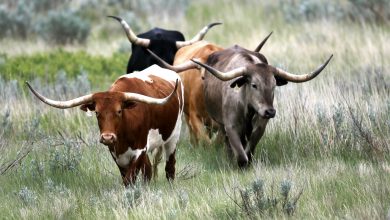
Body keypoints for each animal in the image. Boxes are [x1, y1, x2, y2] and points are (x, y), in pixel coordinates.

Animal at [26, 64, 184, 185]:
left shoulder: (139, 150)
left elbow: (130, 178)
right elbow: (128, 179)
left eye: (119, 111)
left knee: (170, 167)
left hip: (173, 137)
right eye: (97, 112)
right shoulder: (117, 154)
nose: (107, 137)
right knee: (149, 170)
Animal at [192, 45, 332, 168]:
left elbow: (249, 149)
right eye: (254, 85)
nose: (270, 112)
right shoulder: (230, 126)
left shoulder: (260, 126)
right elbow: (240, 154)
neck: (247, 109)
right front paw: (239, 164)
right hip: (221, 124)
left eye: (274, 85)